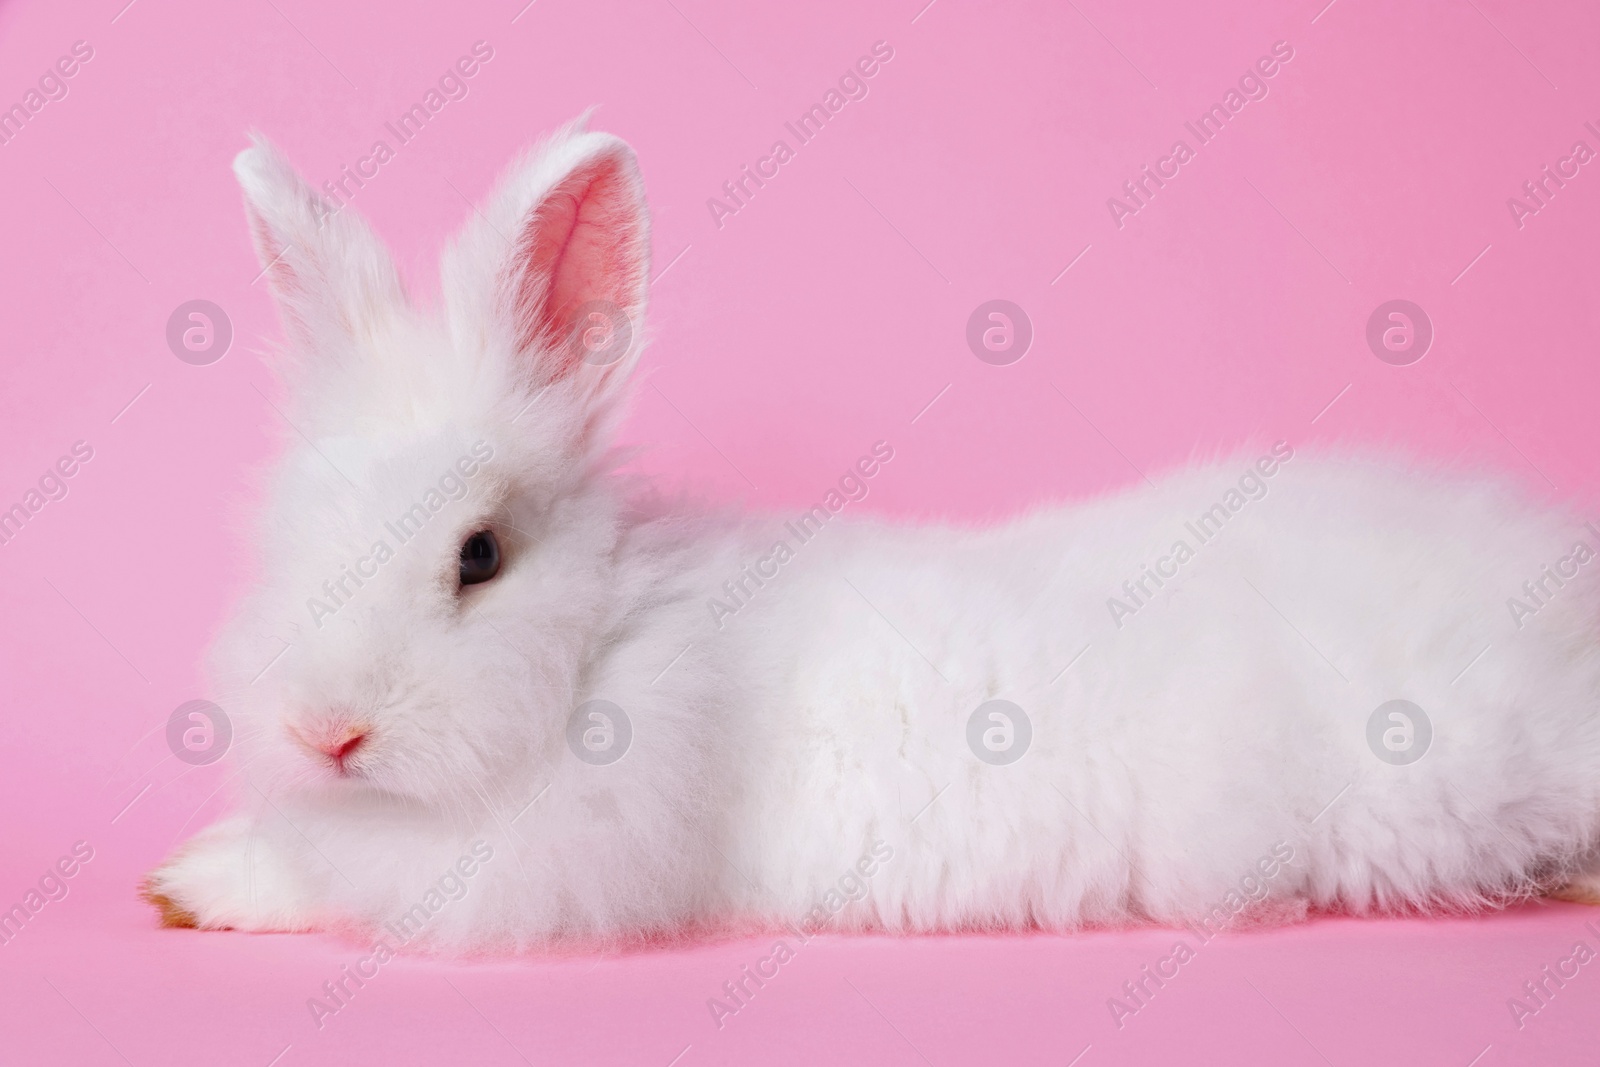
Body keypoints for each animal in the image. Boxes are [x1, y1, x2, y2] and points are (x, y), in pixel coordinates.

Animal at [144, 115, 1600, 953]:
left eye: (479, 554)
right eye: (287, 534)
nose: (326, 733)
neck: (613, 640)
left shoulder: (535, 860)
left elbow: (357, 884)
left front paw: (205, 881)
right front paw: (186, 872)